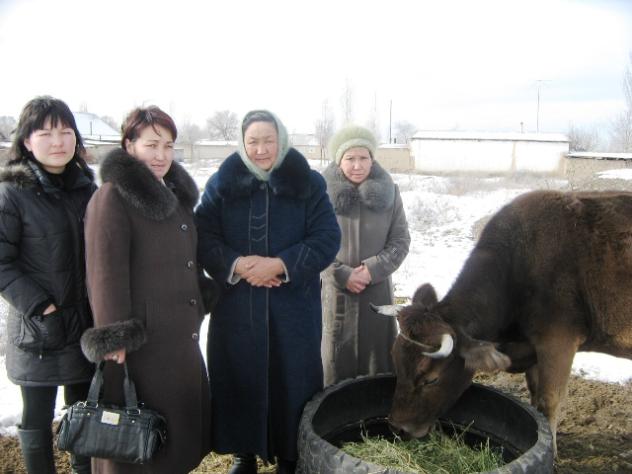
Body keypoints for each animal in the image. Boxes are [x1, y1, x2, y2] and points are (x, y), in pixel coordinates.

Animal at [372, 189, 632, 455]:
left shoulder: (558, 340)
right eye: (396, 360)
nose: (398, 428)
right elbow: (535, 399)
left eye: (431, 378)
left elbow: (549, 401)